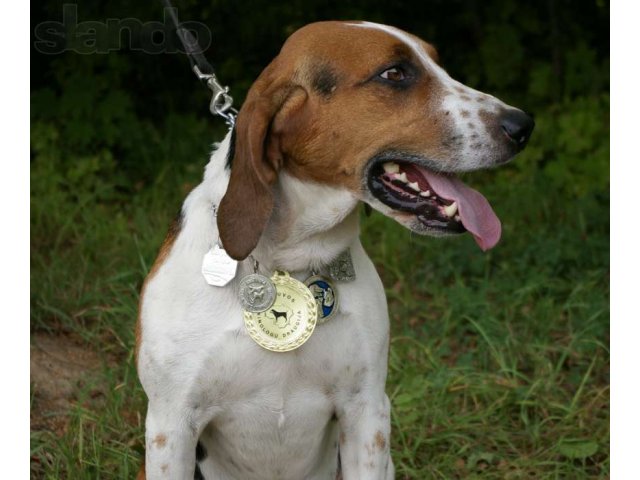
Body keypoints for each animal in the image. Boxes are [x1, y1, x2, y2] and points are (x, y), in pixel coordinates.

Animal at [136, 19, 536, 480]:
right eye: (394, 73)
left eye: (439, 63)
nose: (523, 125)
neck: (289, 260)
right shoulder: (171, 424)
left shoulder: (367, 411)